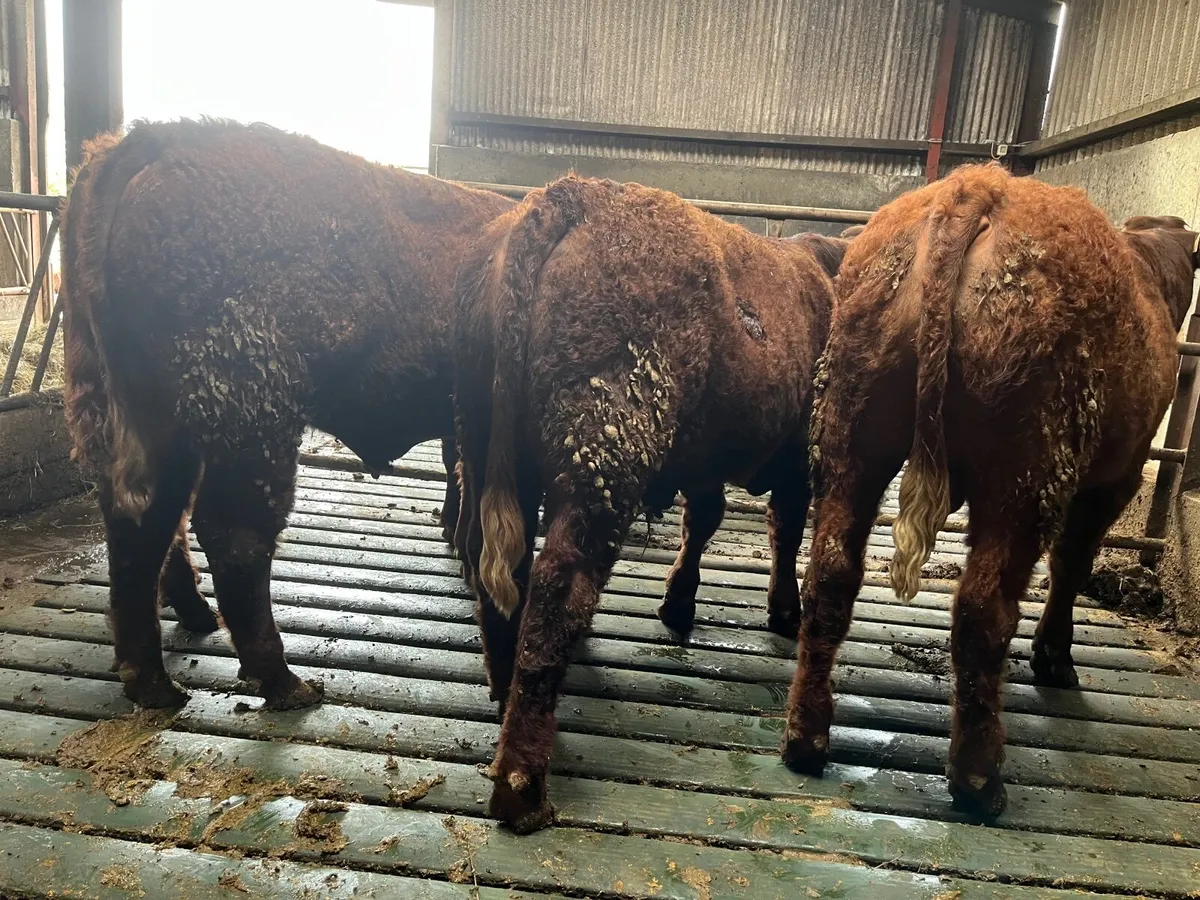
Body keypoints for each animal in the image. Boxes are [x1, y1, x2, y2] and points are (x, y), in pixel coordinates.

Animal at [61, 118, 513, 711]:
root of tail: (159, 141)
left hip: (158, 425)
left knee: (146, 523)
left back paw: (159, 676)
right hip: (254, 425)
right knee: (234, 535)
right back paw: (283, 681)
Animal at [452, 174, 847, 832]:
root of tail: (571, 195)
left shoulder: (704, 459)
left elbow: (704, 518)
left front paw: (679, 602)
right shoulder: (798, 458)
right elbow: (784, 529)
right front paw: (782, 611)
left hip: (488, 451)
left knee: (498, 573)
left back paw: (504, 697)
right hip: (605, 455)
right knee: (557, 586)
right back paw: (521, 786)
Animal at [780, 162, 1199, 817]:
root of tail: (979, 185)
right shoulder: (1116, 478)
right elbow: (1073, 564)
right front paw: (1054, 658)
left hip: (853, 433)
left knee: (829, 574)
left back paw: (806, 738)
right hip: (1025, 470)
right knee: (983, 610)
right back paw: (978, 780)